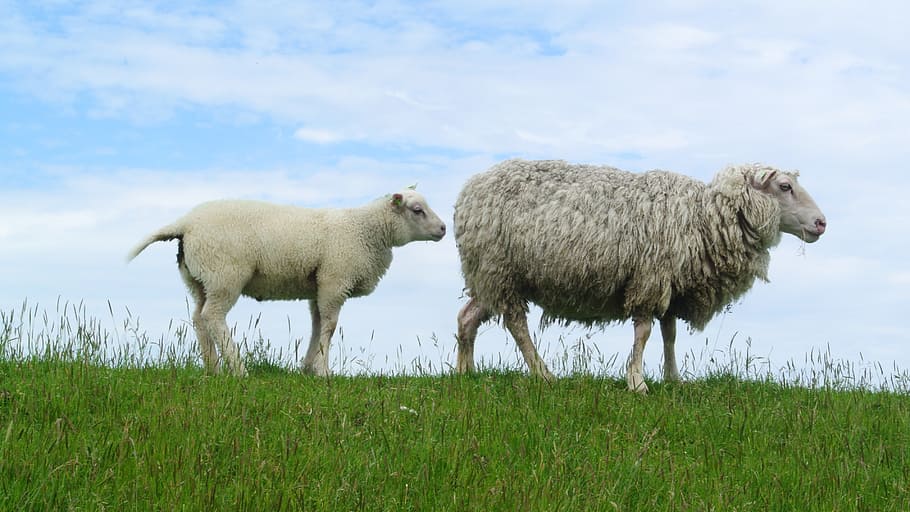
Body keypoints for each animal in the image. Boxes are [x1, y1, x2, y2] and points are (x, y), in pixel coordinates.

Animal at [128, 188, 446, 377]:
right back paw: (238, 369)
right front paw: (324, 371)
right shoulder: (334, 280)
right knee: (213, 317)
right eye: (417, 210)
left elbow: (317, 324)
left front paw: (308, 367)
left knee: (197, 318)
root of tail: (185, 223)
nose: (444, 228)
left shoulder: (318, 285)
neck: (365, 230)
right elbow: (330, 326)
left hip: (198, 278)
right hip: (224, 275)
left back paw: (213, 368)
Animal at [454, 159, 826, 393]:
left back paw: (465, 374)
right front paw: (638, 382)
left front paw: (674, 379)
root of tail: (467, 193)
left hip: (490, 276)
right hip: (500, 270)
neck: (704, 217)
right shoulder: (650, 278)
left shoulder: (671, 287)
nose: (821, 223)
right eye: (784, 186)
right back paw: (542, 374)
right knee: (516, 324)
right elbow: (644, 333)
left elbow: (669, 335)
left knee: (467, 317)